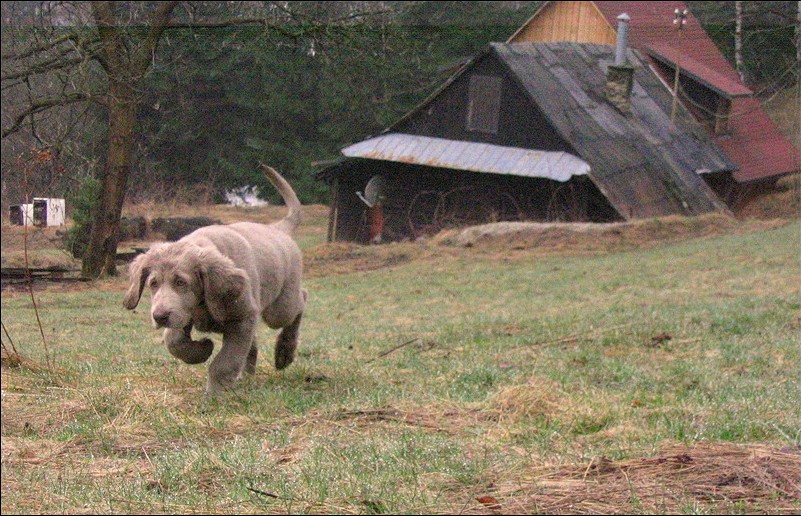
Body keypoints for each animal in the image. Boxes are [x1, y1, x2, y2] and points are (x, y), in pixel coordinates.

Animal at [123, 165, 306, 394]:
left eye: (181, 282)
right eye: (153, 284)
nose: (160, 317)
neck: (203, 304)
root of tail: (277, 228)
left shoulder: (242, 318)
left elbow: (225, 362)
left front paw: (215, 395)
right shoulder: (183, 313)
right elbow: (173, 341)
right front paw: (201, 349)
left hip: (279, 308)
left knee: (300, 301)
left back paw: (284, 352)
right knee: (253, 345)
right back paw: (246, 375)